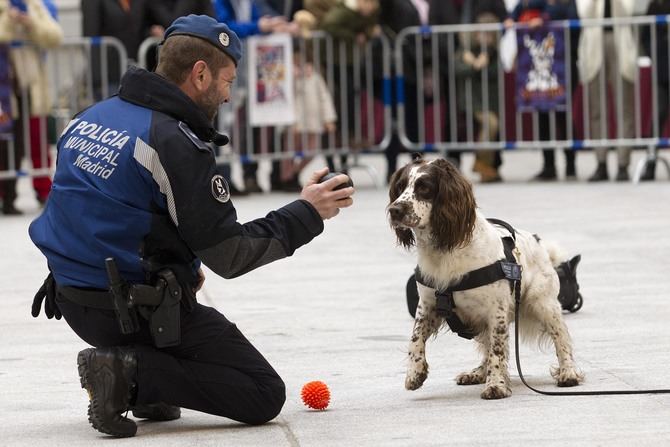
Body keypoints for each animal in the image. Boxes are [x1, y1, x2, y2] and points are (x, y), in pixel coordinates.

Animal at [388, 158, 584, 400]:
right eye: (400, 187)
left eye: (424, 187)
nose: (394, 210)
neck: (445, 248)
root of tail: (539, 242)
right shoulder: (428, 305)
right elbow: (415, 338)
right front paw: (415, 374)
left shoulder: (495, 310)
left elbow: (498, 350)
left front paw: (496, 385)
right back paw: (477, 373)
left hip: (543, 304)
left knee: (560, 337)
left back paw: (568, 372)